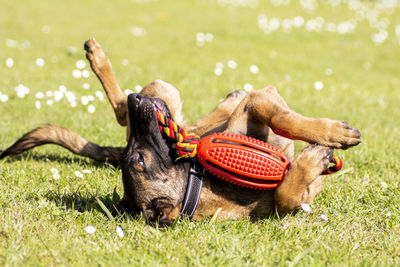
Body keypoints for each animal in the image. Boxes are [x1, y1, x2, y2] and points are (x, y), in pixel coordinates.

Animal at [0, 38, 362, 226]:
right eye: (138, 159)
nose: (138, 99)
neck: (200, 182)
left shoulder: (260, 102)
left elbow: (283, 120)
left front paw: (331, 134)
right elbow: (287, 194)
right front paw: (319, 153)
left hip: (165, 92)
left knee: (123, 111)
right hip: (161, 95)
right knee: (120, 112)